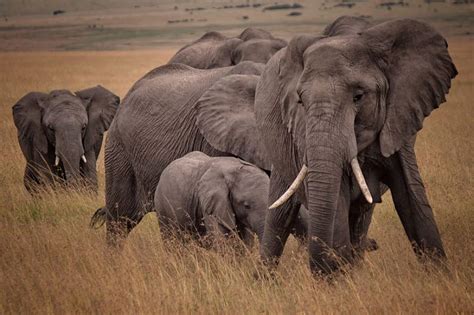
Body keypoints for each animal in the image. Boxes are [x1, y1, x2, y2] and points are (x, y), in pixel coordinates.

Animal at [254, 16, 458, 276]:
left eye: (358, 96)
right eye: (300, 101)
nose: (376, 245)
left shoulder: (399, 117)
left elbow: (411, 197)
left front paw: (441, 275)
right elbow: (337, 201)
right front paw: (340, 279)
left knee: (361, 214)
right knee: (279, 215)